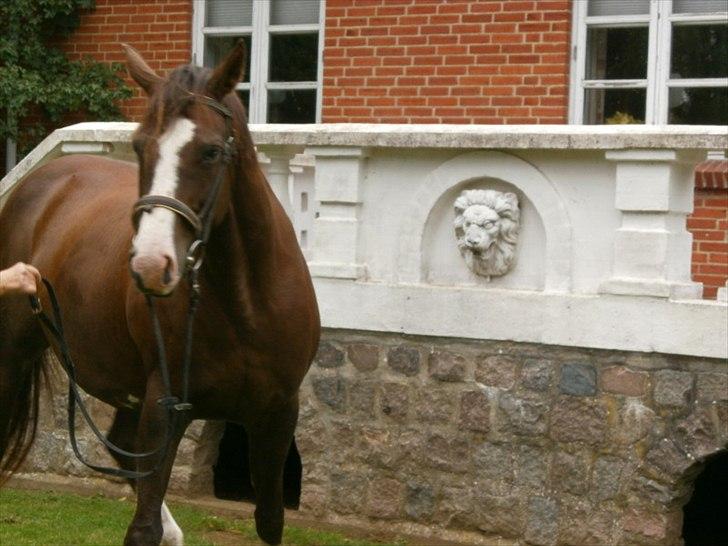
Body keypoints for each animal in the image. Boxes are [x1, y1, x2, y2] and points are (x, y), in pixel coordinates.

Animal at [0, 43, 318, 544]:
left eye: (211, 151)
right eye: (138, 146)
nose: (151, 265)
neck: (247, 305)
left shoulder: (278, 414)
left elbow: (269, 520)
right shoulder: (163, 411)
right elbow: (141, 526)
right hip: (13, 355)